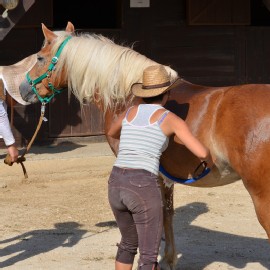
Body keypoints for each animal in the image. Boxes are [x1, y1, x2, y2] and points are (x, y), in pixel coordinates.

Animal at [19, 21, 270, 270]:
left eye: (40, 57)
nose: (23, 89)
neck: (128, 94)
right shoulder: (164, 175)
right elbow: (166, 212)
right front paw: (169, 258)